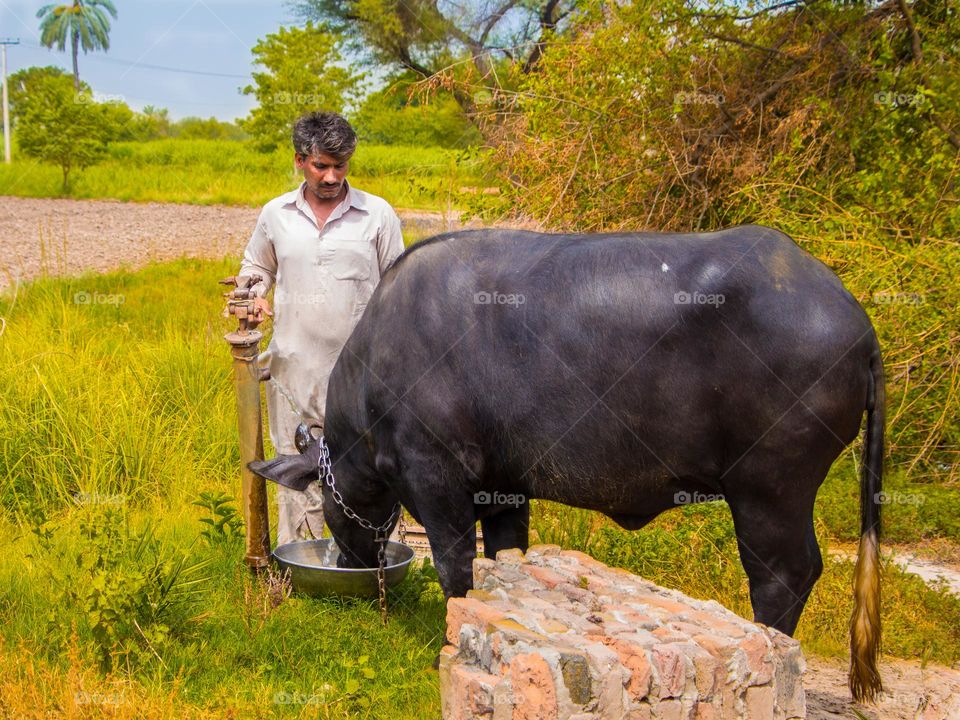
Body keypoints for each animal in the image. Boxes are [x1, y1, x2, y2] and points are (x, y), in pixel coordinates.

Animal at [249, 228, 884, 700]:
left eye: (325, 499)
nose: (348, 560)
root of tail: (853, 317)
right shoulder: (504, 490)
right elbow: (503, 559)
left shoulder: (437, 480)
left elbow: (456, 568)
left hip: (770, 489)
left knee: (785, 573)